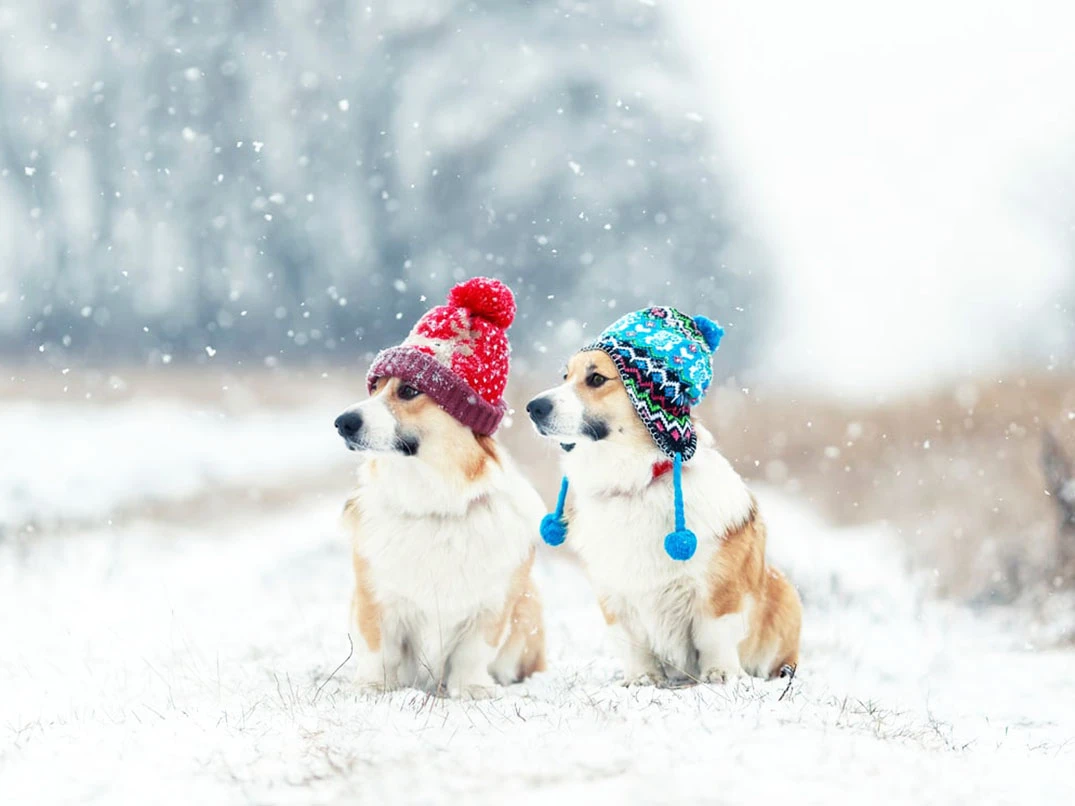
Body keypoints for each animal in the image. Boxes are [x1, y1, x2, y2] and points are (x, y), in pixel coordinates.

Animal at [335, 279, 546, 700]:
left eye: (409, 391)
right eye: (375, 387)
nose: (342, 422)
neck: (435, 502)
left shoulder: (492, 605)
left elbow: (473, 652)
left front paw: (472, 689)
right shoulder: (375, 599)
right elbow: (378, 650)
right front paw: (372, 687)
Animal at [528, 309, 799, 687]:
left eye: (596, 378)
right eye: (565, 376)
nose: (532, 407)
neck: (638, 480)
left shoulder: (718, 591)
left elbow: (714, 635)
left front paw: (720, 674)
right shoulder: (615, 595)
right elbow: (633, 643)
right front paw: (642, 679)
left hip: (785, 592)